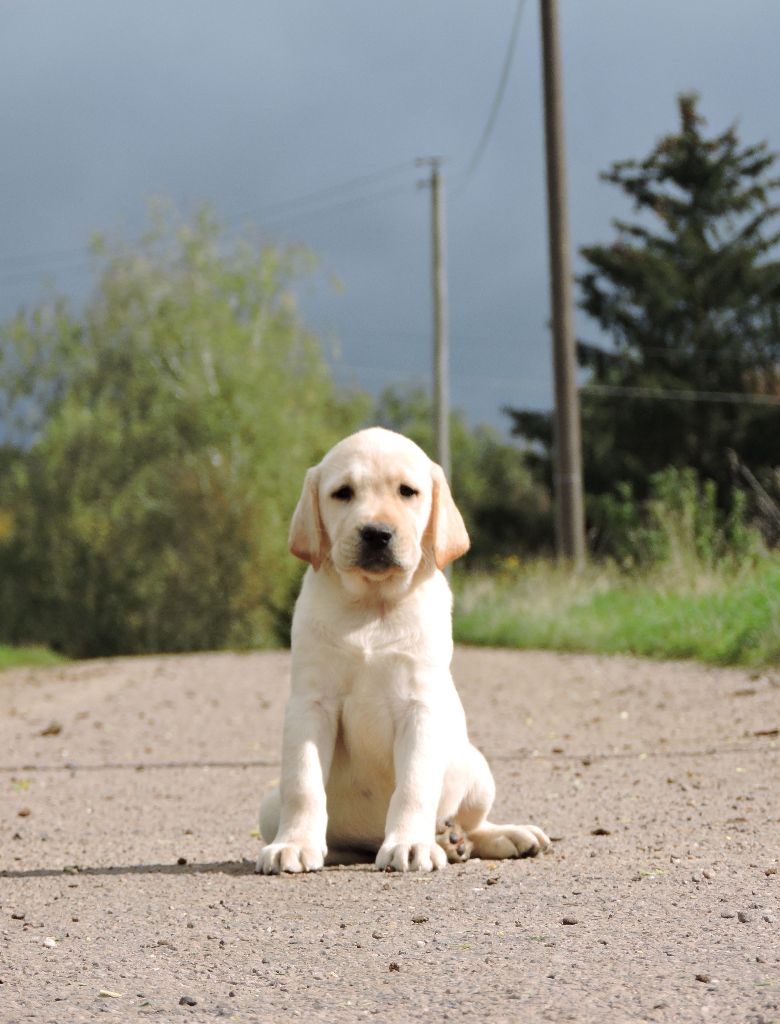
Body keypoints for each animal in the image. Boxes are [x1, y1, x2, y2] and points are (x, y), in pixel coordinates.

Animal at [254, 425, 548, 872]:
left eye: (407, 492)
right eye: (343, 493)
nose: (377, 532)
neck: (373, 606)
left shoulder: (420, 706)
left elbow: (414, 784)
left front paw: (410, 844)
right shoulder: (311, 703)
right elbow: (304, 784)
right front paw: (295, 844)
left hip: (476, 768)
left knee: (472, 823)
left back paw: (486, 837)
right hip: (269, 807)